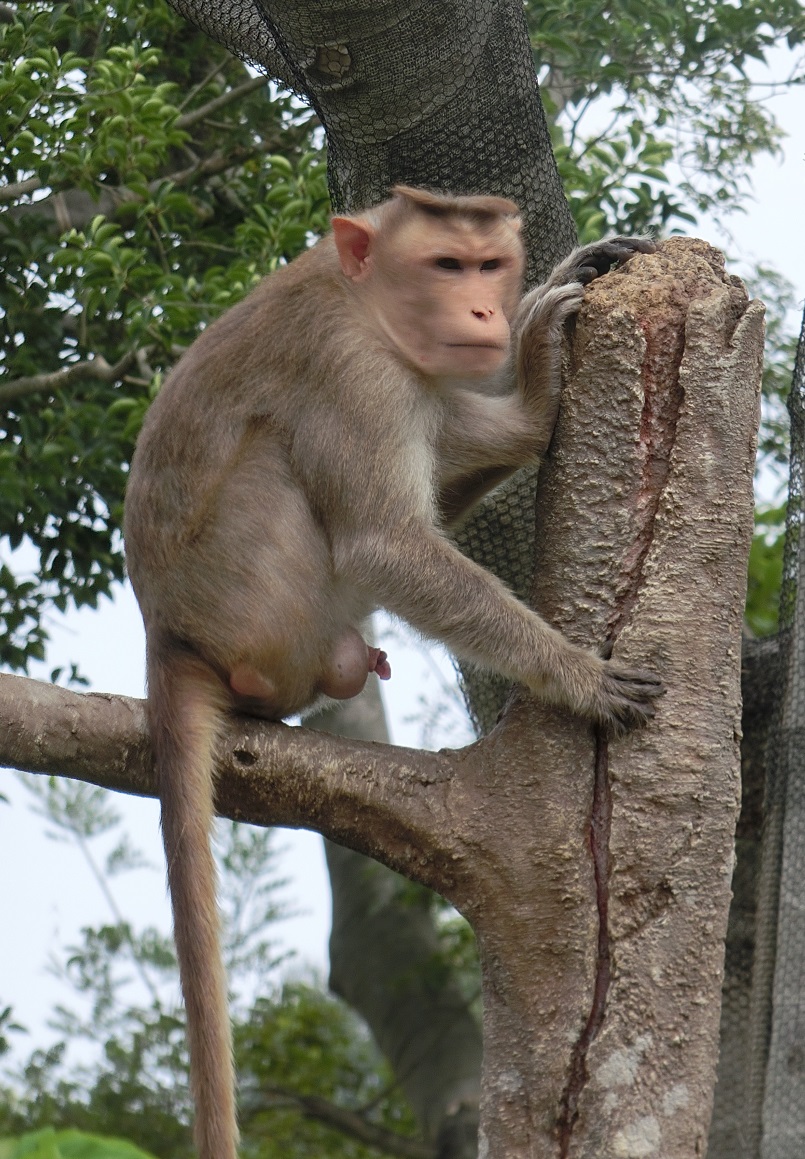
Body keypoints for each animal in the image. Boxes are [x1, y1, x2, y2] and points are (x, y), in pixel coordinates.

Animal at [124, 187, 662, 1159]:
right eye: (445, 265)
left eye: (489, 264)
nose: (485, 312)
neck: (364, 298)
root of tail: (165, 634)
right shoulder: (356, 374)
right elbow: (384, 541)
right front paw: (572, 672)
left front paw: (538, 365)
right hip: (255, 605)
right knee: (289, 471)